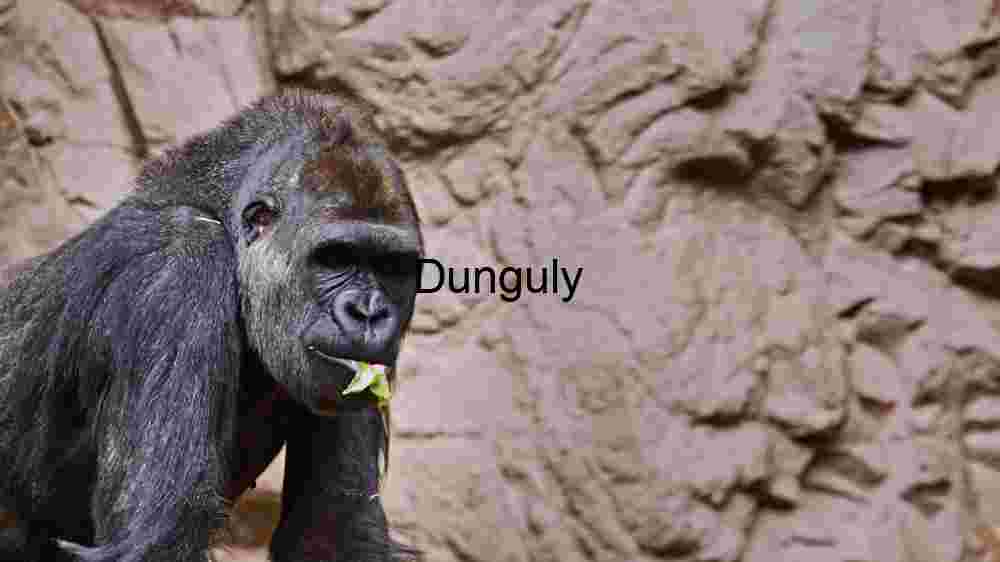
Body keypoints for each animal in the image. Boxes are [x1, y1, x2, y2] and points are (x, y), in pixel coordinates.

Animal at [0, 90, 422, 562]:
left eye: (391, 267)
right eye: (335, 258)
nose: (368, 312)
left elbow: (334, 530)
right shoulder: (182, 268)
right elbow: (160, 539)